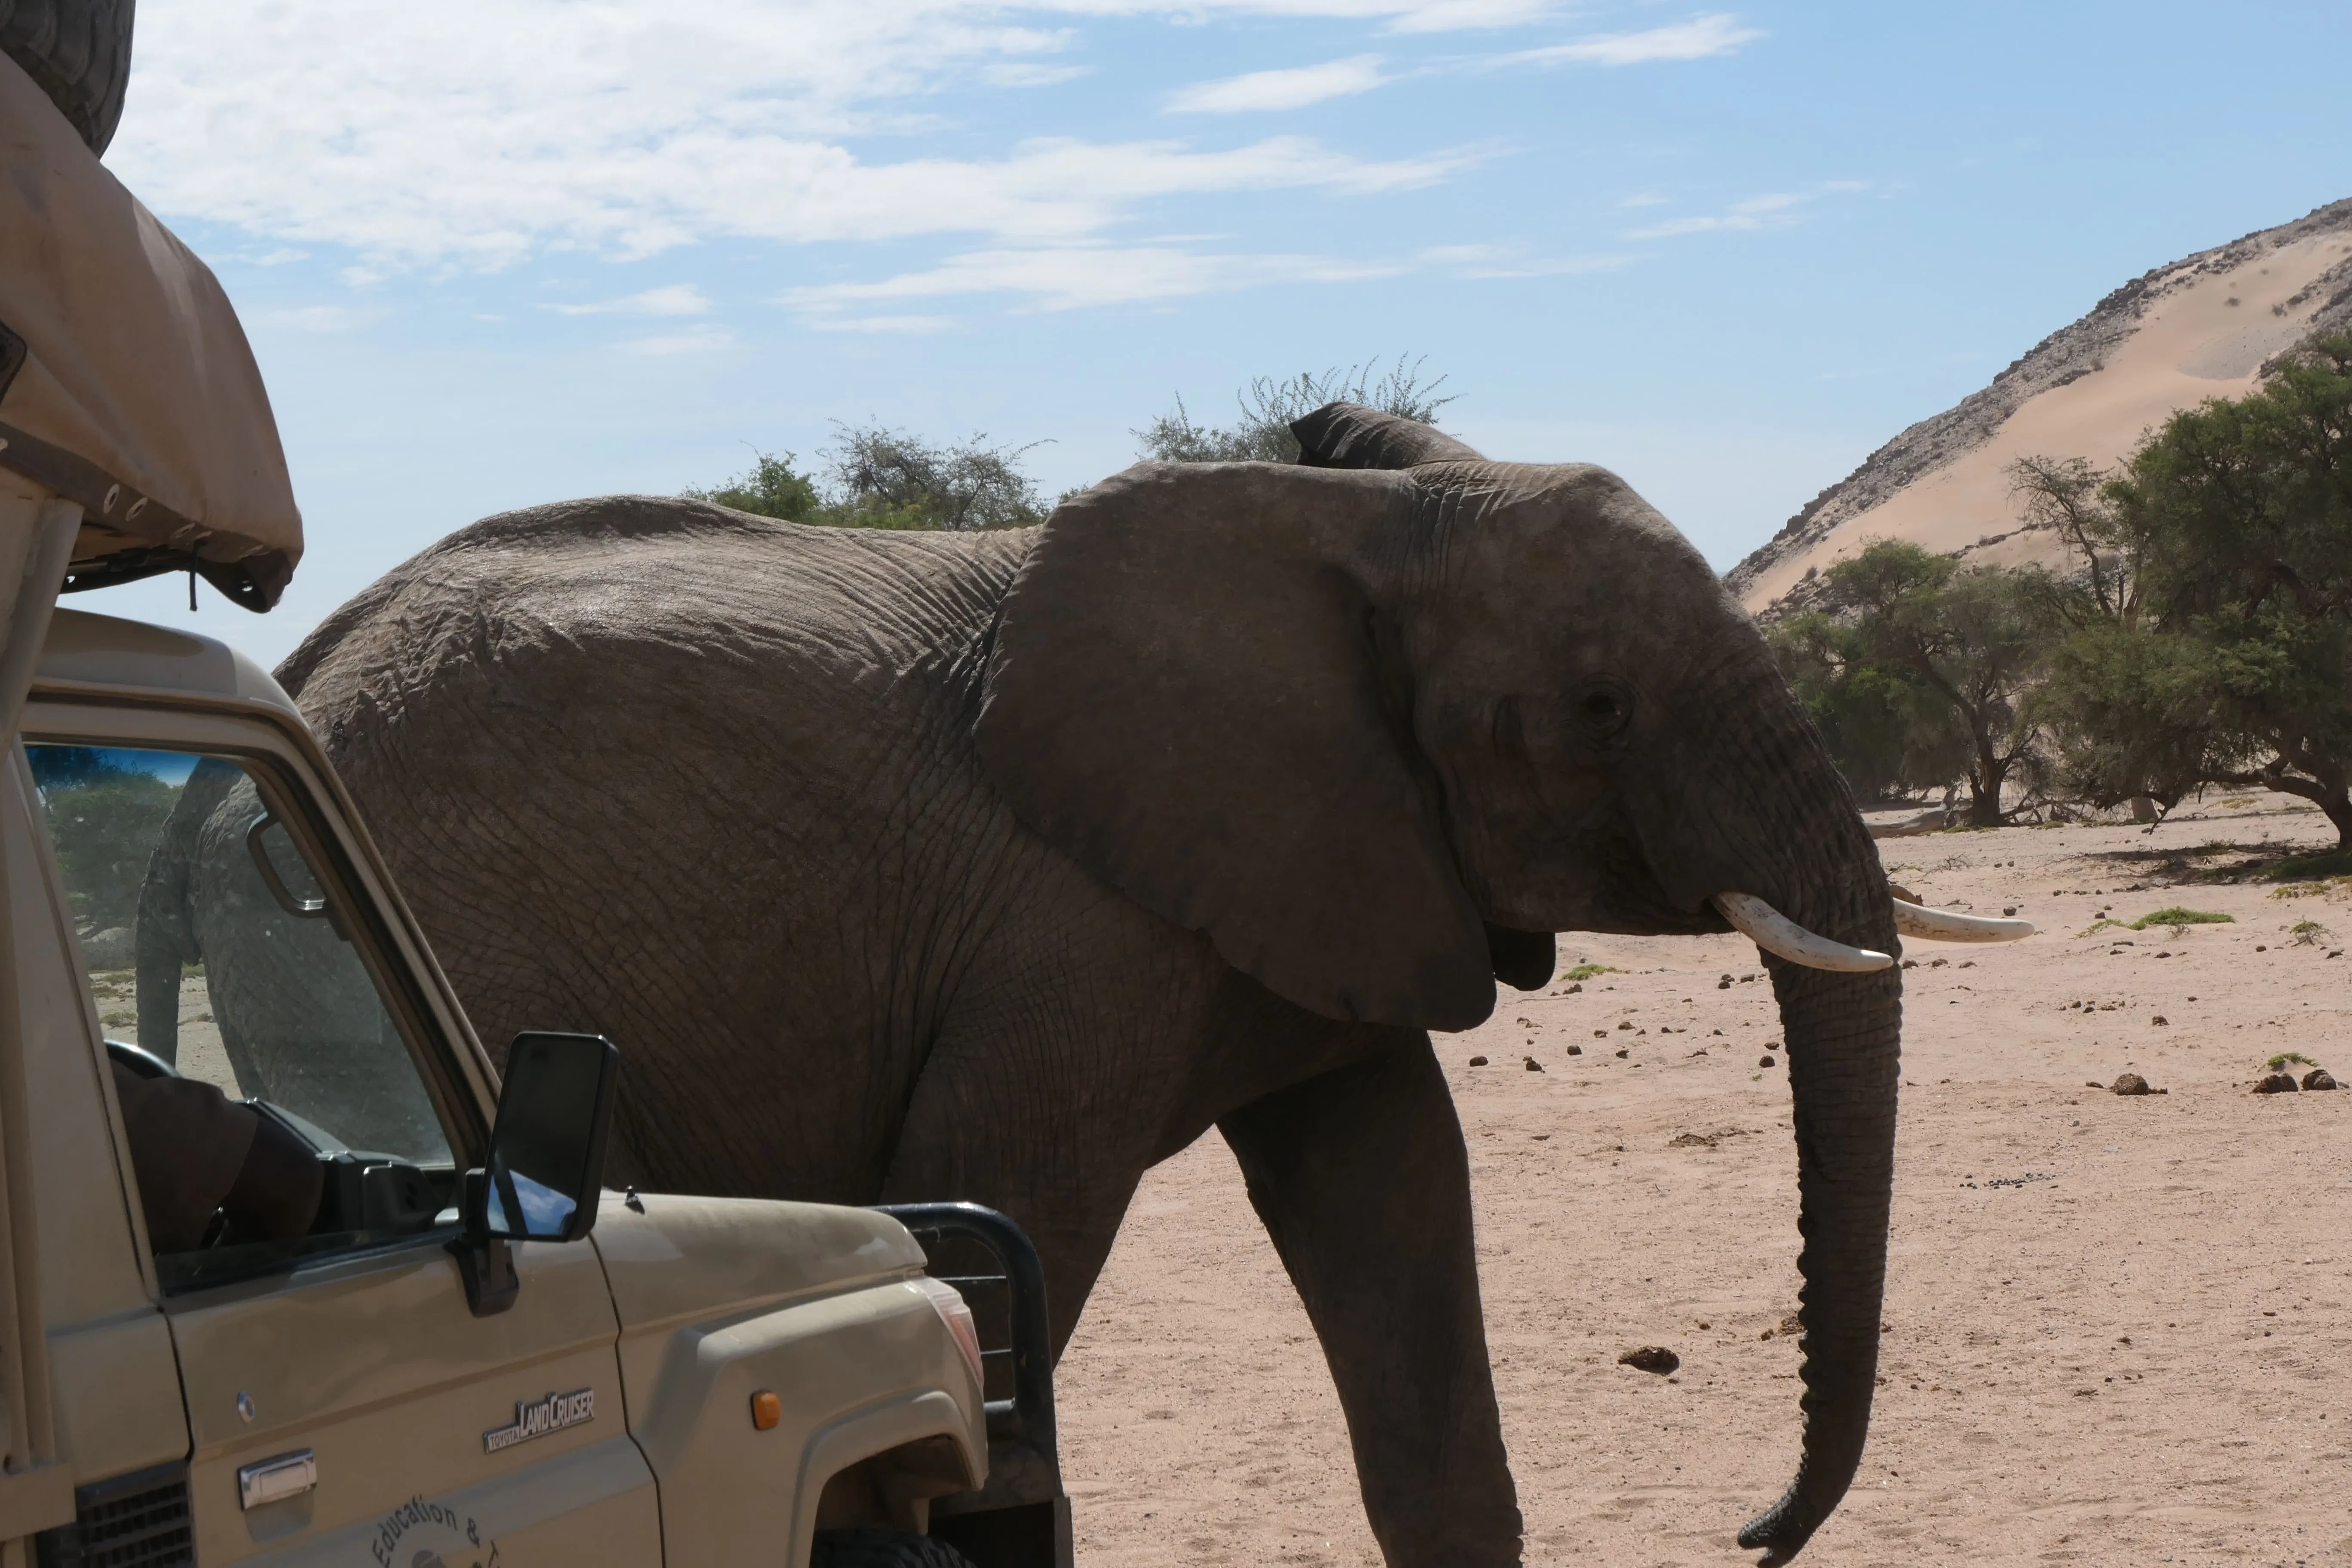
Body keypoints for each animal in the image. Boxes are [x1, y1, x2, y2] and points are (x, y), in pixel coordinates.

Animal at [145, 402, 1958, 1563]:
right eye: (1596, 706)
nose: (1752, 1528)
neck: (1348, 526)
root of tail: (291, 673)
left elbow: (1388, 1184)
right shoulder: (1072, 921)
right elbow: (993, 1212)